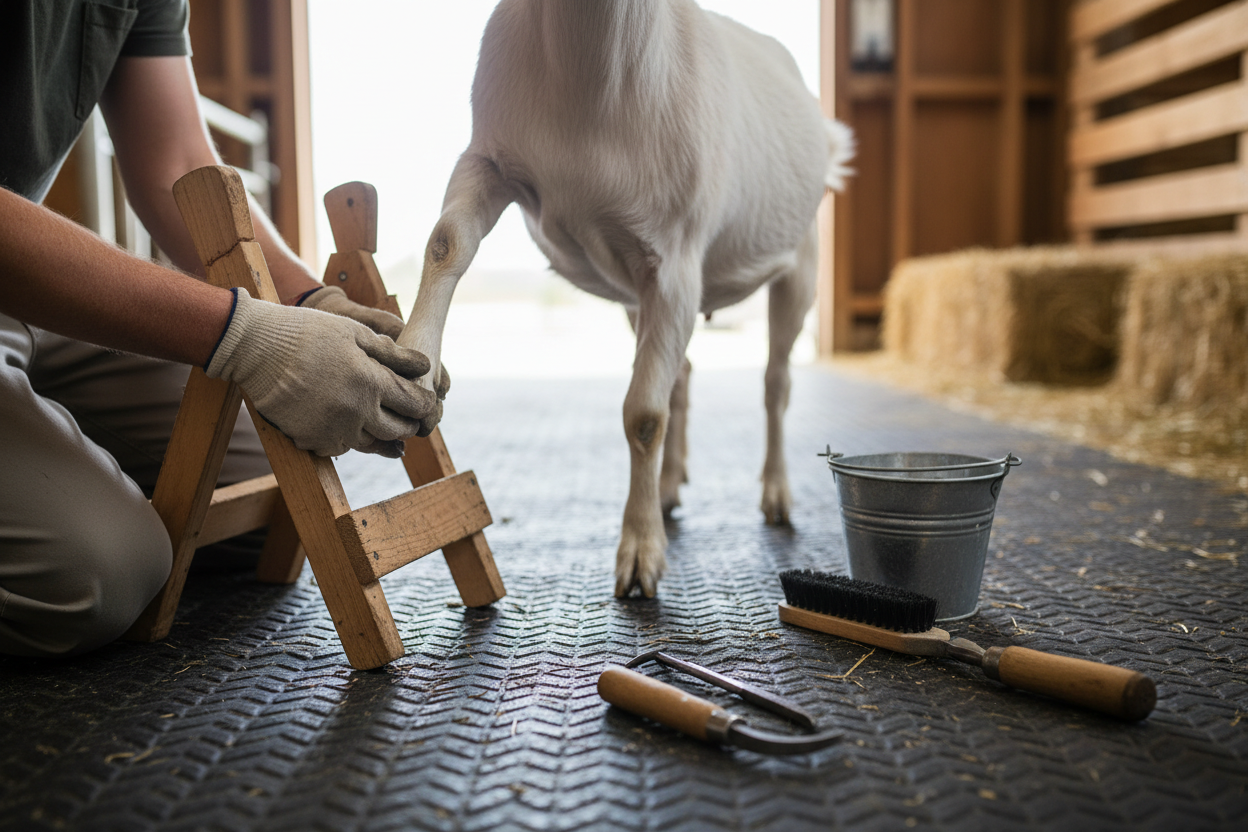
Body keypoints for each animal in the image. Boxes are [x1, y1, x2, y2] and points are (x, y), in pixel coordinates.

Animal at [398, 0, 854, 598]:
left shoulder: (675, 260)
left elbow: (643, 416)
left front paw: (640, 556)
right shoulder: (490, 160)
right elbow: (446, 241)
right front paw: (418, 363)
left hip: (798, 267)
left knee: (775, 383)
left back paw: (775, 495)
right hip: (637, 296)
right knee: (682, 373)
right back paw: (670, 485)